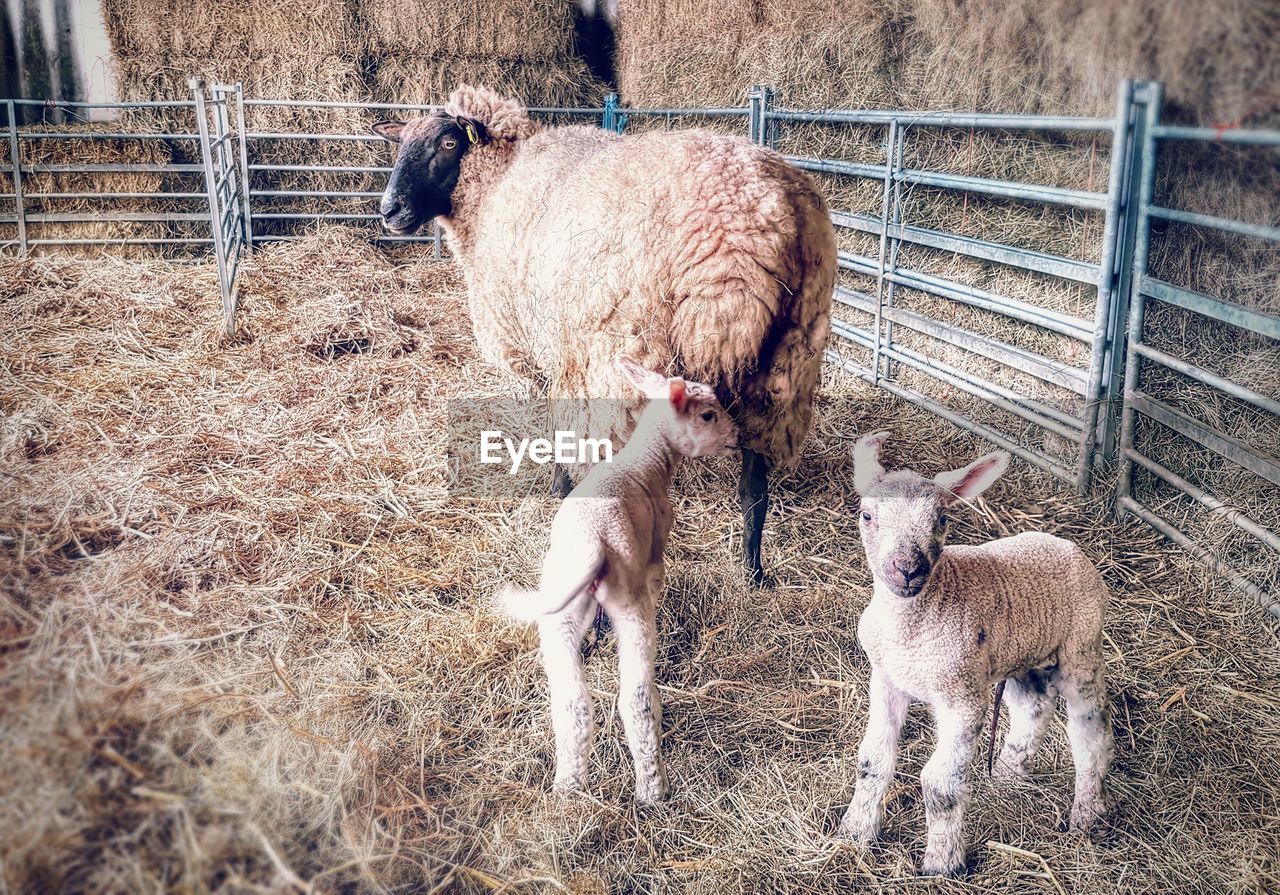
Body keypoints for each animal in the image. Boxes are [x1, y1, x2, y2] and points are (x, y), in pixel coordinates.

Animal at [371, 85, 834, 588]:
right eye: (401, 143)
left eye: (448, 143)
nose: (390, 210)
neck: (498, 183)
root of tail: (749, 229)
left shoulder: (548, 349)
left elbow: (552, 424)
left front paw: (557, 485)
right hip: (784, 367)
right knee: (755, 485)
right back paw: (752, 571)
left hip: (626, 353)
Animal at [501, 355, 742, 804]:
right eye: (708, 414)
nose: (737, 437)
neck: (644, 461)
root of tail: (592, 544)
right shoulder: (654, 552)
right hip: (629, 602)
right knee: (636, 697)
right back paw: (652, 789)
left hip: (558, 612)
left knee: (573, 703)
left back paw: (568, 787)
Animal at [839, 430, 1111, 880]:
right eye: (866, 515)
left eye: (942, 520)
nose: (907, 568)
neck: (912, 626)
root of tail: (1068, 544)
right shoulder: (886, 679)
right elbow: (872, 760)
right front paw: (855, 832)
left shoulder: (963, 698)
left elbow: (940, 783)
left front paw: (941, 864)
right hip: (1022, 653)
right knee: (1034, 707)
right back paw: (1007, 774)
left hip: (1082, 647)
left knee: (1092, 732)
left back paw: (1086, 814)